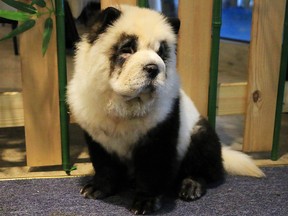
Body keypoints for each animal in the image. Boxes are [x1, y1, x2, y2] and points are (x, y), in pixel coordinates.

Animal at [66, 4, 264, 214]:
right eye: (127, 50)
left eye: (161, 53)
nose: (153, 68)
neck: (125, 106)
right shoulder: (97, 134)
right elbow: (104, 165)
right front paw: (97, 188)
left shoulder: (160, 131)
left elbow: (152, 172)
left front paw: (145, 202)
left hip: (198, 133)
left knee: (206, 168)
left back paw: (191, 185)